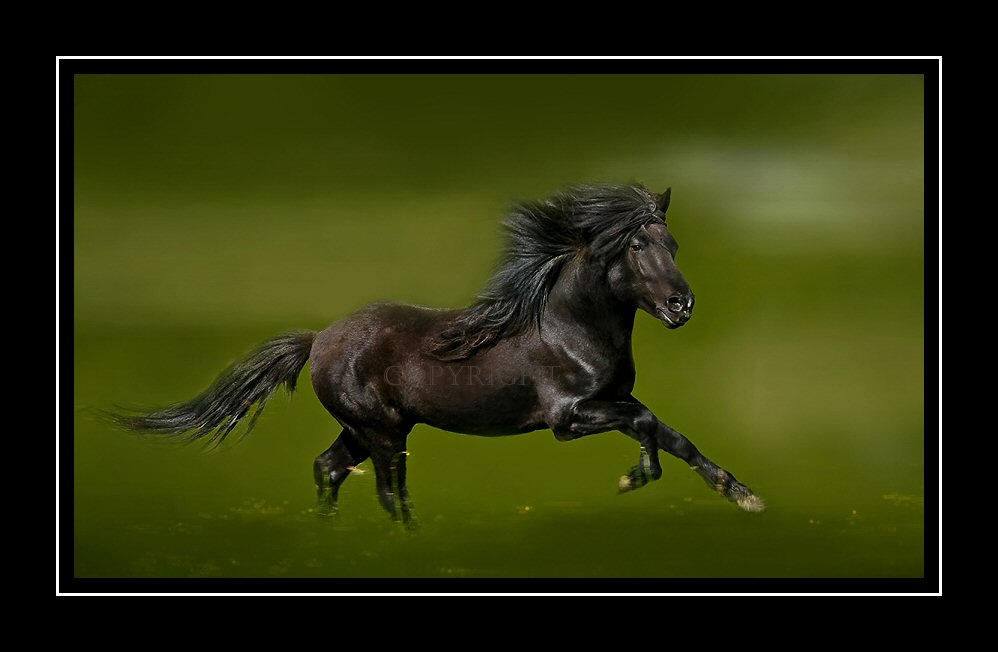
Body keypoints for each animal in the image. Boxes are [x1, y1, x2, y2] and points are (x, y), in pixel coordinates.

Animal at [123, 183, 764, 524]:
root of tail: (318, 340)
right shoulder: (568, 417)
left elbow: (672, 433)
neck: (571, 329)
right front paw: (635, 479)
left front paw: (741, 494)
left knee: (330, 467)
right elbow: (649, 425)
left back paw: (331, 534)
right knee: (387, 489)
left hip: (368, 428)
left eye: (672, 242)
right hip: (382, 431)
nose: (682, 305)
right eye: (635, 246)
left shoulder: (612, 398)